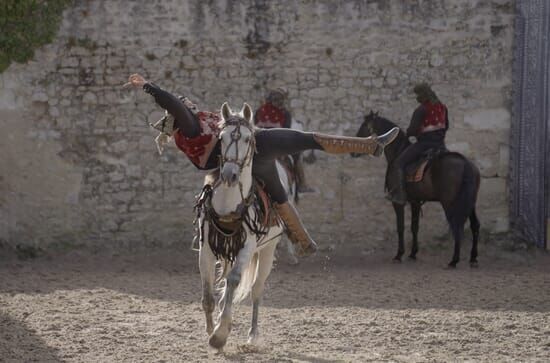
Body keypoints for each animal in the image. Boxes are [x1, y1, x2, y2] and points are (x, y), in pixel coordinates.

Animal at [199, 102, 294, 352]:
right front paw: (212, 329)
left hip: (267, 250)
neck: (228, 203)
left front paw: (220, 333)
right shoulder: (207, 248)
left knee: (256, 289)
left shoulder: (248, 247)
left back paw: (252, 335)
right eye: (221, 138)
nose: (229, 175)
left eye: (247, 139)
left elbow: (234, 281)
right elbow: (208, 292)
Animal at [356, 112, 480, 268]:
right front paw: (413, 253)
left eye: (364, 126)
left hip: (449, 202)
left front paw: (399, 255)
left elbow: (401, 227)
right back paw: (473, 258)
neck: (398, 152)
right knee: (474, 226)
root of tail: (465, 163)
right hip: (470, 203)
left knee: (457, 226)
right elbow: (414, 227)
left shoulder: (398, 202)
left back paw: (454, 260)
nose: (354, 153)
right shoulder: (415, 202)